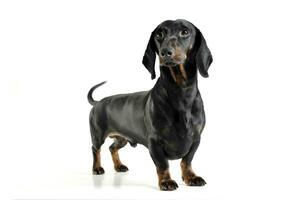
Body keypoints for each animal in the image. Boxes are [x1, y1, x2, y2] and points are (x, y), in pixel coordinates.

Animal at [87, 18, 213, 191]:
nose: (165, 52)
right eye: (159, 35)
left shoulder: (196, 139)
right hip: (97, 134)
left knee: (112, 148)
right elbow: (163, 164)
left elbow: (187, 161)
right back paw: (97, 168)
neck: (181, 92)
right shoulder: (154, 142)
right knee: (96, 149)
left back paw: (119, 166)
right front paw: (166, 181)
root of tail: (99, 102)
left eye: (185, 32)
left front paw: (191, 177)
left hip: (122, 138)